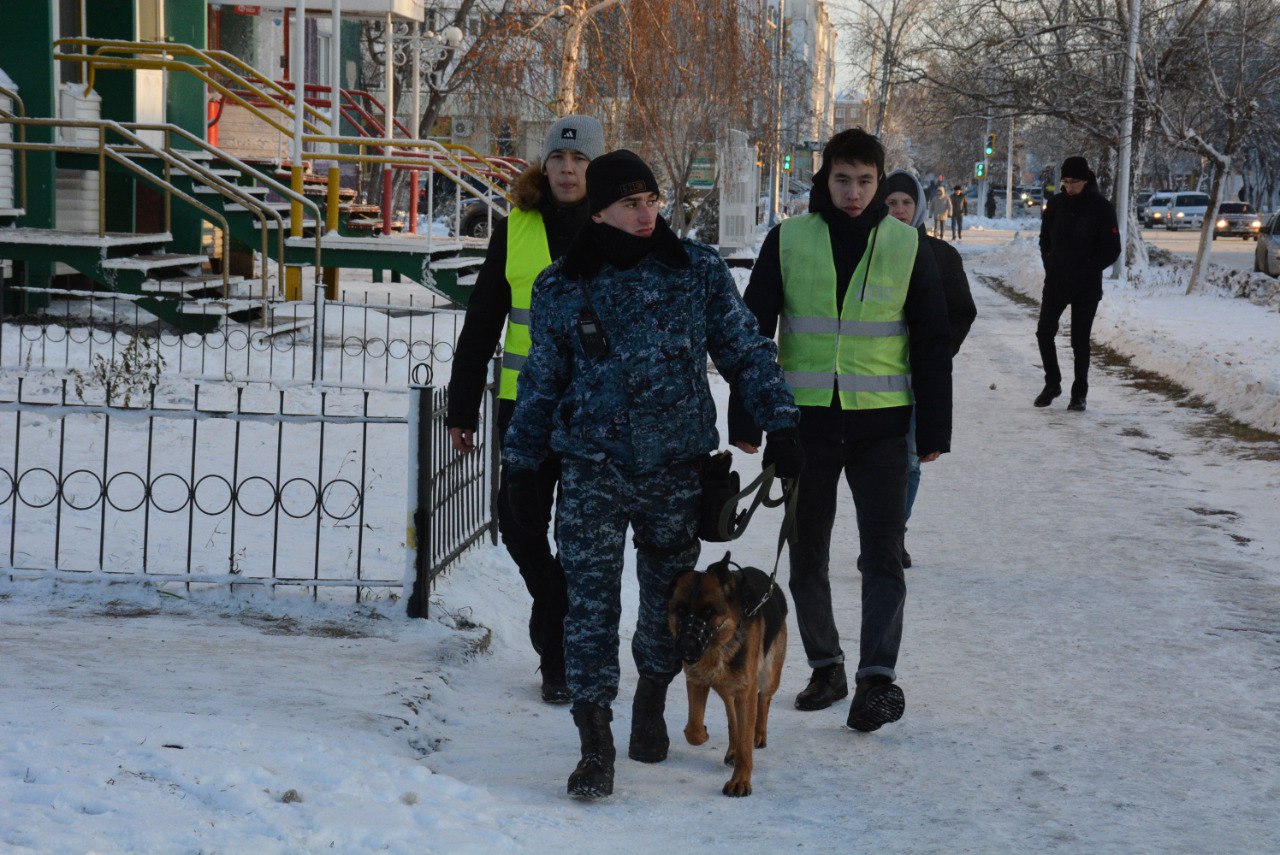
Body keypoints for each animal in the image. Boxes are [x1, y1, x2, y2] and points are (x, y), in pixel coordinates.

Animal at [665, 550, 783, 798]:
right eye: (680, 609)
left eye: (709, 611)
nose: (687, 646)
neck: (717, 648)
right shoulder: (696, 681)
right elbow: (694, 728)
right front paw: (703, 734)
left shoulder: (745, 691)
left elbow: (746, 742)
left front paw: (740, 781)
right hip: (728, 687)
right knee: (732, 716)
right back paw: (733, 748)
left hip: (769, 674)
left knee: (764, 698)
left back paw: (759, 733)